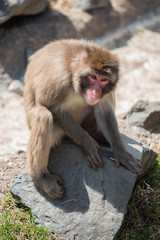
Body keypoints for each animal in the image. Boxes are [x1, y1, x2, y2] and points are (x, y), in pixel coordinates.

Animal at [23, 39, 141, 199]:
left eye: (103, 80)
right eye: (93, 77)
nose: (95, 92)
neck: (74, 72)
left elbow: (104, 111)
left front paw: (121, 153)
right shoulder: (59, 77)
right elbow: (48, 104)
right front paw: (87, 144)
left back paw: (96, 135)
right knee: (43, 115)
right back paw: (41, 178)